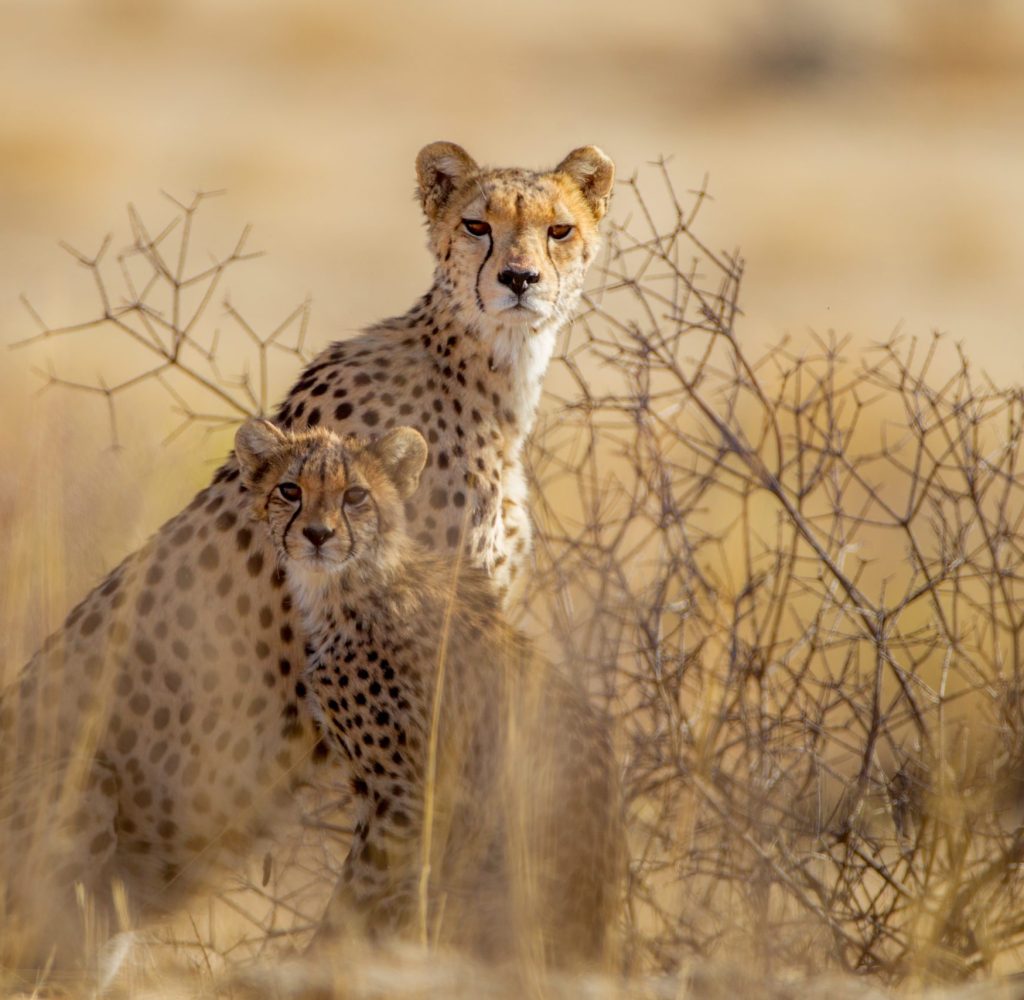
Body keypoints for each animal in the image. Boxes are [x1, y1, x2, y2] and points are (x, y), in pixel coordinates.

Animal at [233, 417, 622, 962]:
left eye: (356, 495)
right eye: (290, 490)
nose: (316, 535)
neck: (350, 586)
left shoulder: (408, 798)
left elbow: (355, 895)